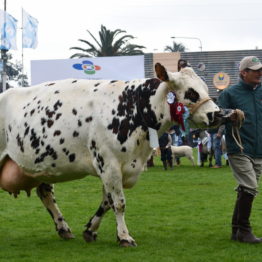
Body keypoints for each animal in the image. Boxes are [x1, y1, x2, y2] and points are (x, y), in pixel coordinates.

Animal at [0, 63, 232, 246]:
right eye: (191, 92)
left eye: (205, 88)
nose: (218, 114)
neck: (132, 108)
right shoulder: (108, 163)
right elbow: (119, 203)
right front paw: (124, 237)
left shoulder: (121, 168)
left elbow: (108, 201)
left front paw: (90, 230)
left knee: (46, 193)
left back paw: (63, 228)